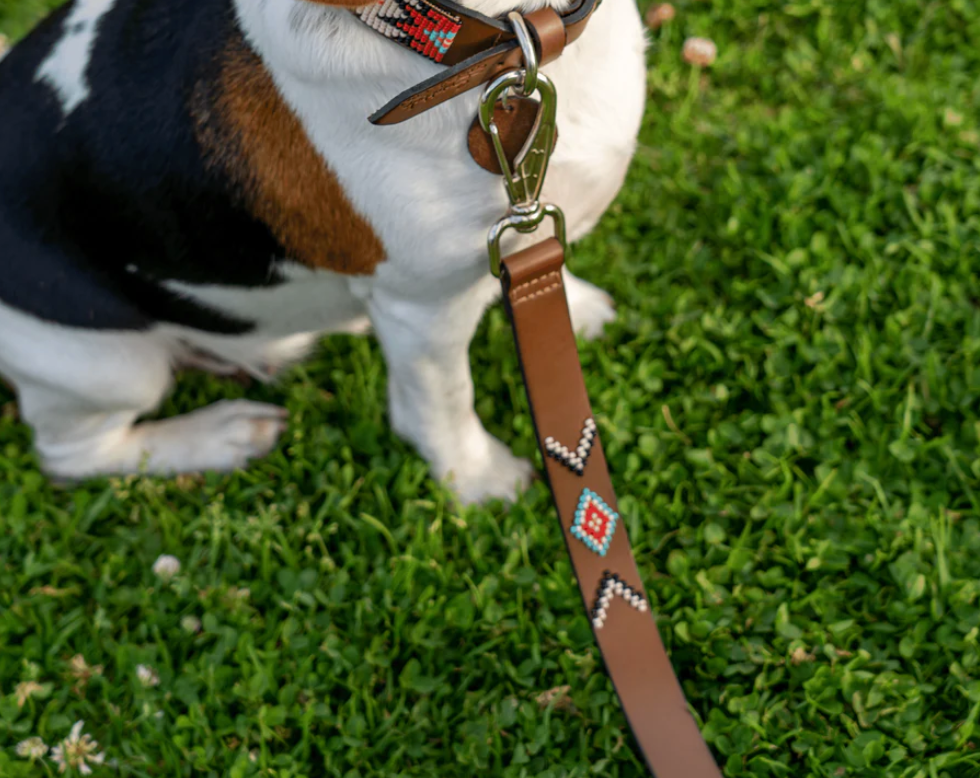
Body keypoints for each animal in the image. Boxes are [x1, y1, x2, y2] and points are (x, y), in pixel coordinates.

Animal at [0, 0, 648, 504]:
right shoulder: (423, 308)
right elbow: (442, 404)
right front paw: (477, 479)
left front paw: (576, 309)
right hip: (108, 365)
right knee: (73, 454)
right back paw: (221, 434)